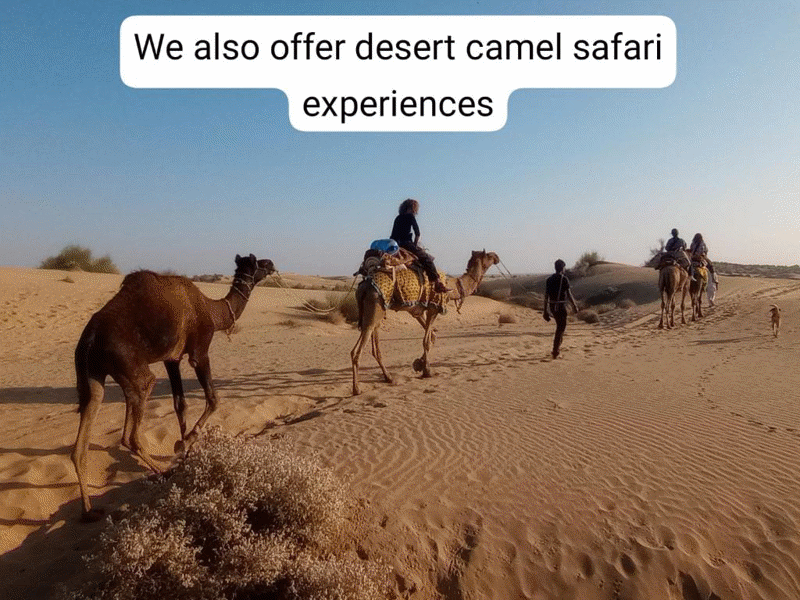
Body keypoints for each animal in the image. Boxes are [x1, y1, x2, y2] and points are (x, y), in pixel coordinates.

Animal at [72, 254, 274, 520]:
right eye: (257, 262)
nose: (272, 264)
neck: (213, 311)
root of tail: (90, 338)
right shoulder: (199, 351)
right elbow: (213, 399)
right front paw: (186, 443)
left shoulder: (172, 359)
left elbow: (181, 405)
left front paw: (184, 449)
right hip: (132, 369)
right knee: (132, 431)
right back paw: (162, 471)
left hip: (92, 375)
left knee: (83, 438)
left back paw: (88, 510)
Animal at [351, 250, 499, 395]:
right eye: (488, 255)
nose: (496, 257)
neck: (451, 287)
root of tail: (362, 287)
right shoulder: (434, 307)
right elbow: (427, 341)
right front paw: (426, 371)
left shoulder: (417, 310)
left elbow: (432, 337)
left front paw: (419, 363)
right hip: (375, 306)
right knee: (358, 349)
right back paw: (357, 389)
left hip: (374, 312)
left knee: (372, 346)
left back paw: (388, 377)